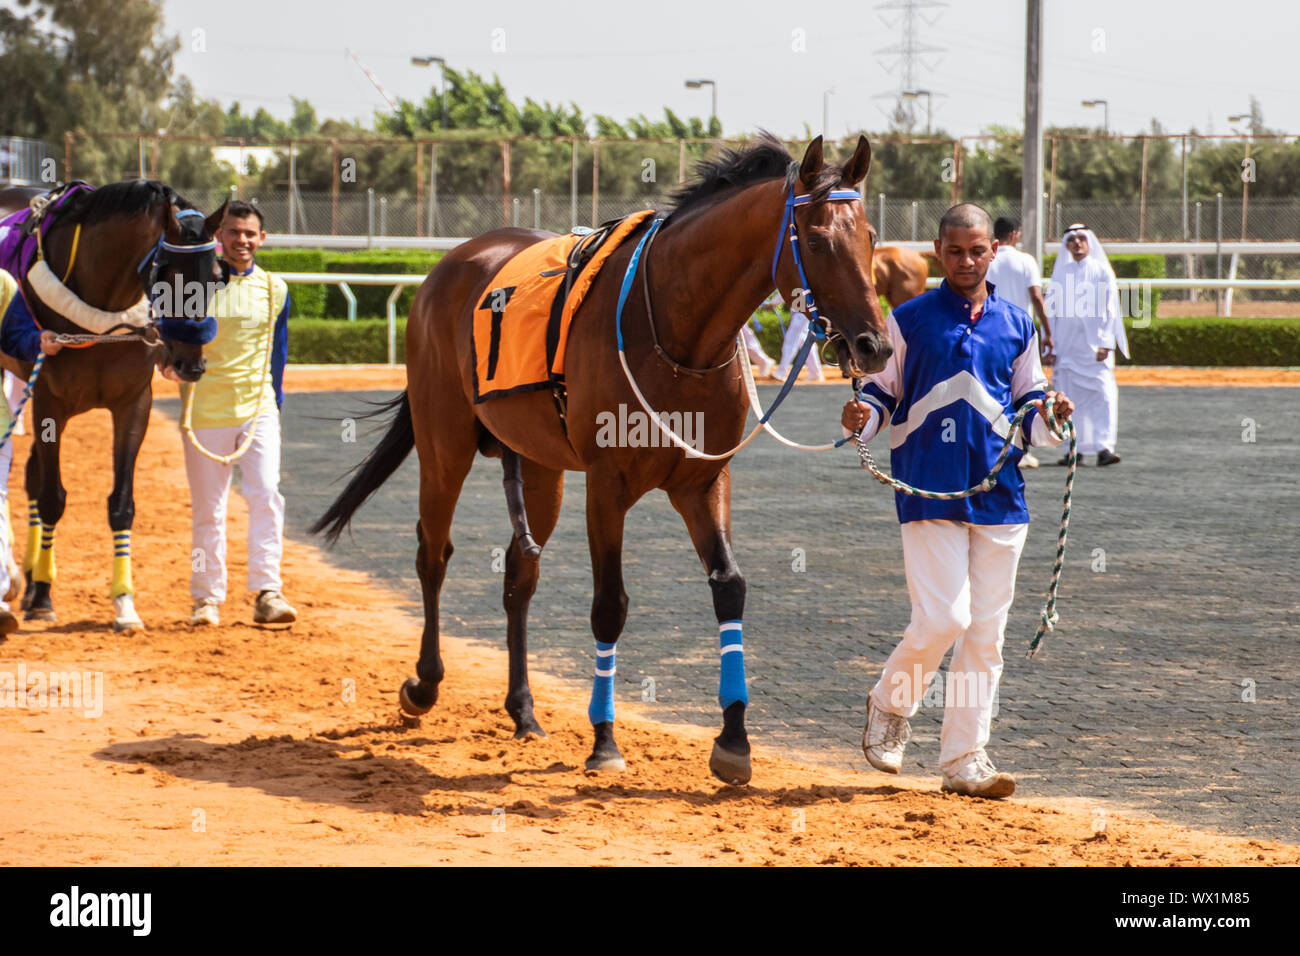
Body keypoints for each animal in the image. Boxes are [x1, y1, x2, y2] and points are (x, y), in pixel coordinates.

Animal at [0, 180, 226, 632]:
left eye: (214, 278)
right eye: (167, 275)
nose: (189, 364)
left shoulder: (133, 403)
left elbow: (122, 504)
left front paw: (124, 603)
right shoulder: (50, 403)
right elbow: (52, 498)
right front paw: (45, 597)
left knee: (31, 472)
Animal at [312, 138, 894, 790]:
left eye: (870, 236)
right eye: (816, 241)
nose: (875, 345)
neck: (676, 334)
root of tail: (450, 265)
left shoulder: (702, 480)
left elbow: (729, 587)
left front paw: (734, 741)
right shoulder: (606, 485)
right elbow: (610, 605)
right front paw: (605, 741)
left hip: (537, 465)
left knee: (520, 573)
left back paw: (523, 710)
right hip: (445, 445)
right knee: (433, 554)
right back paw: (424, 684)